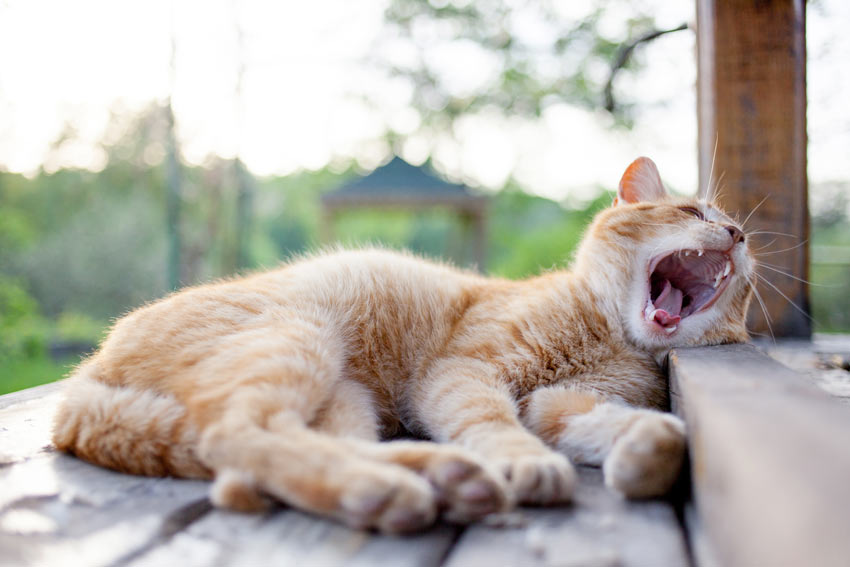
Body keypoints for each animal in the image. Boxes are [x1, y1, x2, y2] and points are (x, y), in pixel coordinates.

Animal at [53, 158, 748, 536]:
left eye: (744, 240)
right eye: (693, 211)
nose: (738, 234)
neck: (608, 333)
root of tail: (85, 380)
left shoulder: (555, 403)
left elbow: (616, 423)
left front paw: (649, 450)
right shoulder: (465, 373)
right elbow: (493, 423)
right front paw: (528, 463)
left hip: (345, 399)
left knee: (265, 462)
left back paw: (446, 480)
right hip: (297, 340)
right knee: (240, 436)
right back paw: (393, 490)